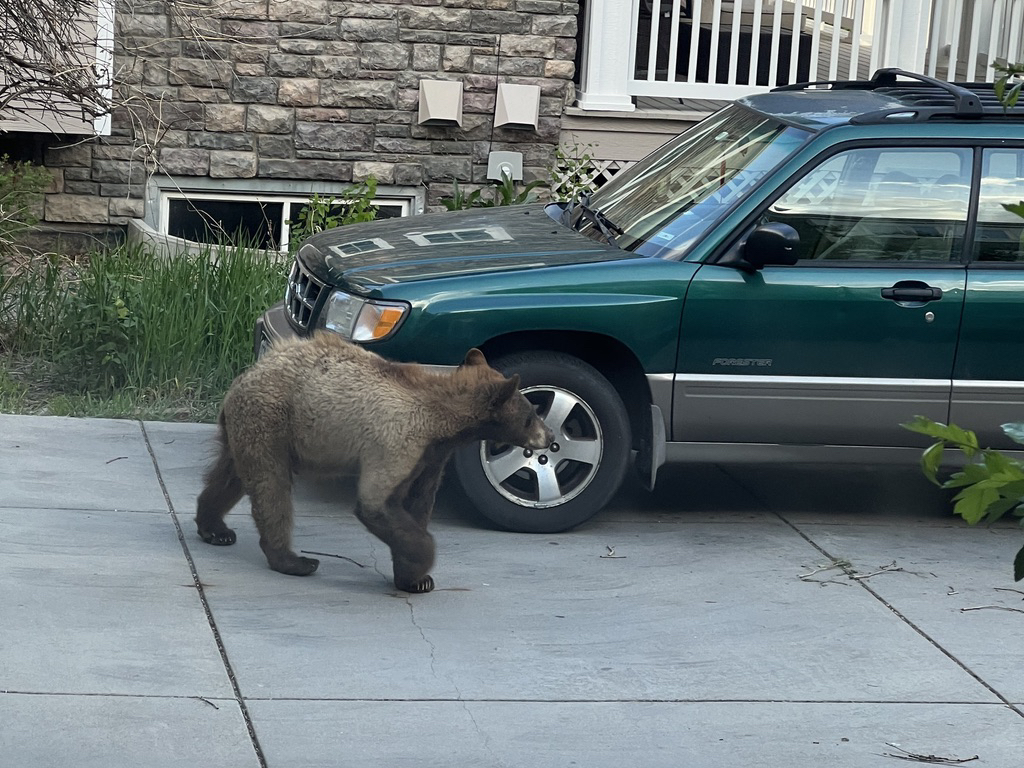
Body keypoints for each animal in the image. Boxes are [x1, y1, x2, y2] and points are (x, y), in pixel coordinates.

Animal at [195, 331, 557, 593]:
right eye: (530, 415)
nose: (550, 435)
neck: (441, 423)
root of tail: (245, 377)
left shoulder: (431, 457)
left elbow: (417, 504)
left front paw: (414, 579)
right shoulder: (397, 441)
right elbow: (377, 503)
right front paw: (423, 565)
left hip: (250, 426)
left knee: (231, 475)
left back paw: (215, 527)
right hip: (272, 418)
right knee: (271, 486)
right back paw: (294, 560)